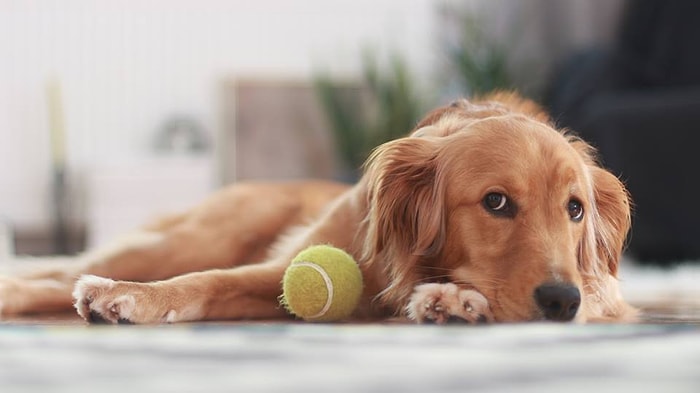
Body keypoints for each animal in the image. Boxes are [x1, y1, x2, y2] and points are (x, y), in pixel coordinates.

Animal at [0, 93, 636, 324]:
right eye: (496, 202)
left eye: (575, 210)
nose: (562, 301)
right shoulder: (285, 266)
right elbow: (206, 280)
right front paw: (134, 297)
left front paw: (453, 300)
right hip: (188, 238)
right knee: (59, 272)